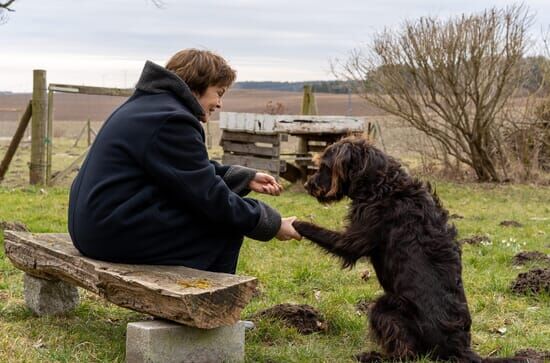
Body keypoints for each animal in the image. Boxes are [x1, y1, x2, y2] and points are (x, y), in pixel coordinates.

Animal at [296, 137, 528, 363]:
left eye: (325, 167)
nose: (307, 185)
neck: (381, 184)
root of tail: (460, 349)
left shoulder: (353, 241)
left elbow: (321, 232)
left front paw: (295, 223)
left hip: (387, 307)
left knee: (407, 354)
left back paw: (373, 356)